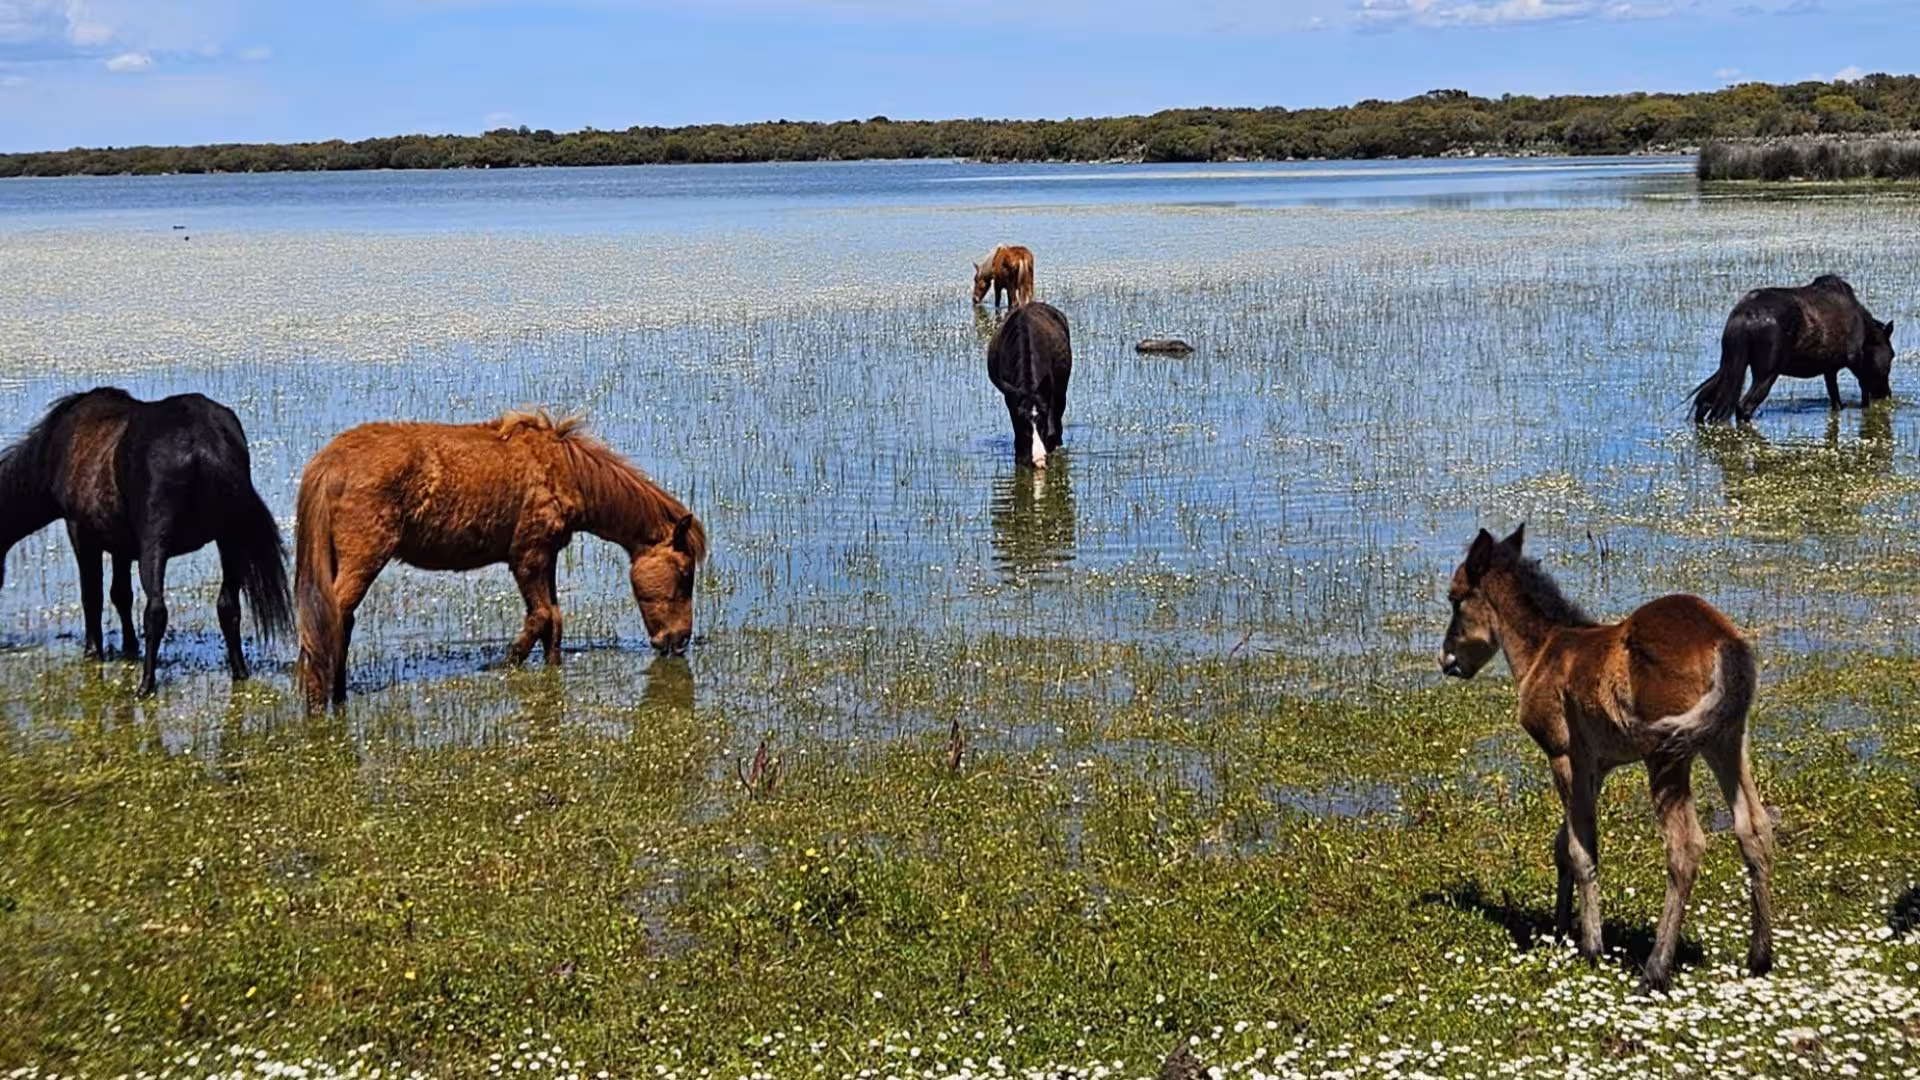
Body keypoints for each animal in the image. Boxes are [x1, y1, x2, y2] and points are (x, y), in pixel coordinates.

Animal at [0, 387, 292, 696]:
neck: (55, 449)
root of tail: (204, 439)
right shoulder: (121, 546)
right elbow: (120, 595)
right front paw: (129, 646)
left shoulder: (81, 532)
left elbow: (93, 596)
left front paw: (93, 652)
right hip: (229, 538)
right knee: (228, 606)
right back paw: (239, 671)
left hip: (155, 543)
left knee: (156, 611)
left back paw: (145, 685)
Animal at [294, 410, 707, 708]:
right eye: (685, 573)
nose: (679, 640)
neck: (564, 470)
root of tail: (330, 462)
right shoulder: (527, 556)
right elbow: (540, 618)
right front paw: (502, 664)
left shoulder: (546, 557)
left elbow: (553, 622)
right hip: (364, 559)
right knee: (330, 619)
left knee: (339, 622)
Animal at [1440, 525, 1773, 993]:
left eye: (1456, 598)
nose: (1447, 660)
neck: (1544, 649)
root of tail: (1722, 640)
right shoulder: (1594, 767)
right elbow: (1564, 843)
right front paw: (1561, 929)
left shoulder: (1563, 755)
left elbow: (1581, 851)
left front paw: (1591, 946)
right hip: (1726, 742)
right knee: (1754, 828)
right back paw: (1760, 957)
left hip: (1666, 755)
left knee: (1685, 846)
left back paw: (1654, 971)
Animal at [1691, 274, 1895, 423]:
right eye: (1892, 355)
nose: (1885, 393)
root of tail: (1743, 316)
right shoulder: (1855, 359)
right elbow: (1863, 391)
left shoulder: (1829, 368)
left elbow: (1835, 399)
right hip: (1766, 374)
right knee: (1743, 407)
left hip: (1730, 365)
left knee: (1705, 402)